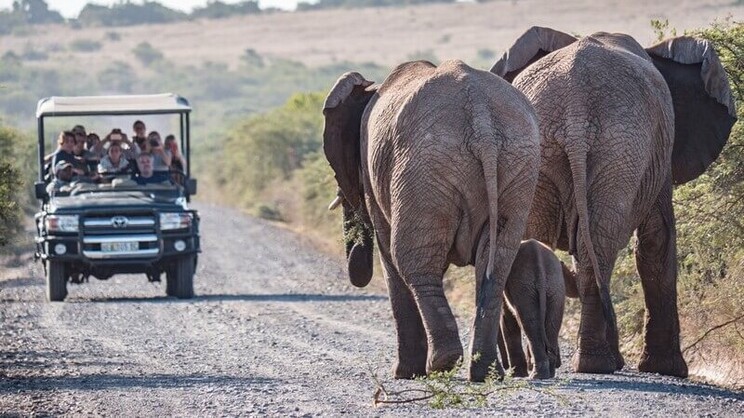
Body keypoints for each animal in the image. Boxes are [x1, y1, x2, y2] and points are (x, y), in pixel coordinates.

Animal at [322, 59, 540, 382]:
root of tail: (482, 119)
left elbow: (389, 258)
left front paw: (404, 374)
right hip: (518, 165)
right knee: (496, 266)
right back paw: (484, 373)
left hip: (422, 170)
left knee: (412, 262)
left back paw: (441, 365)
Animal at [496, 238, 572, 378]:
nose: (505, 366)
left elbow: (507, 320)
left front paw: (516, 375)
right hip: (555, 287)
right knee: (551, 323)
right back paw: (548, 374)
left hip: (526, 287)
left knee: (529, 323)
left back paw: (536, 376)